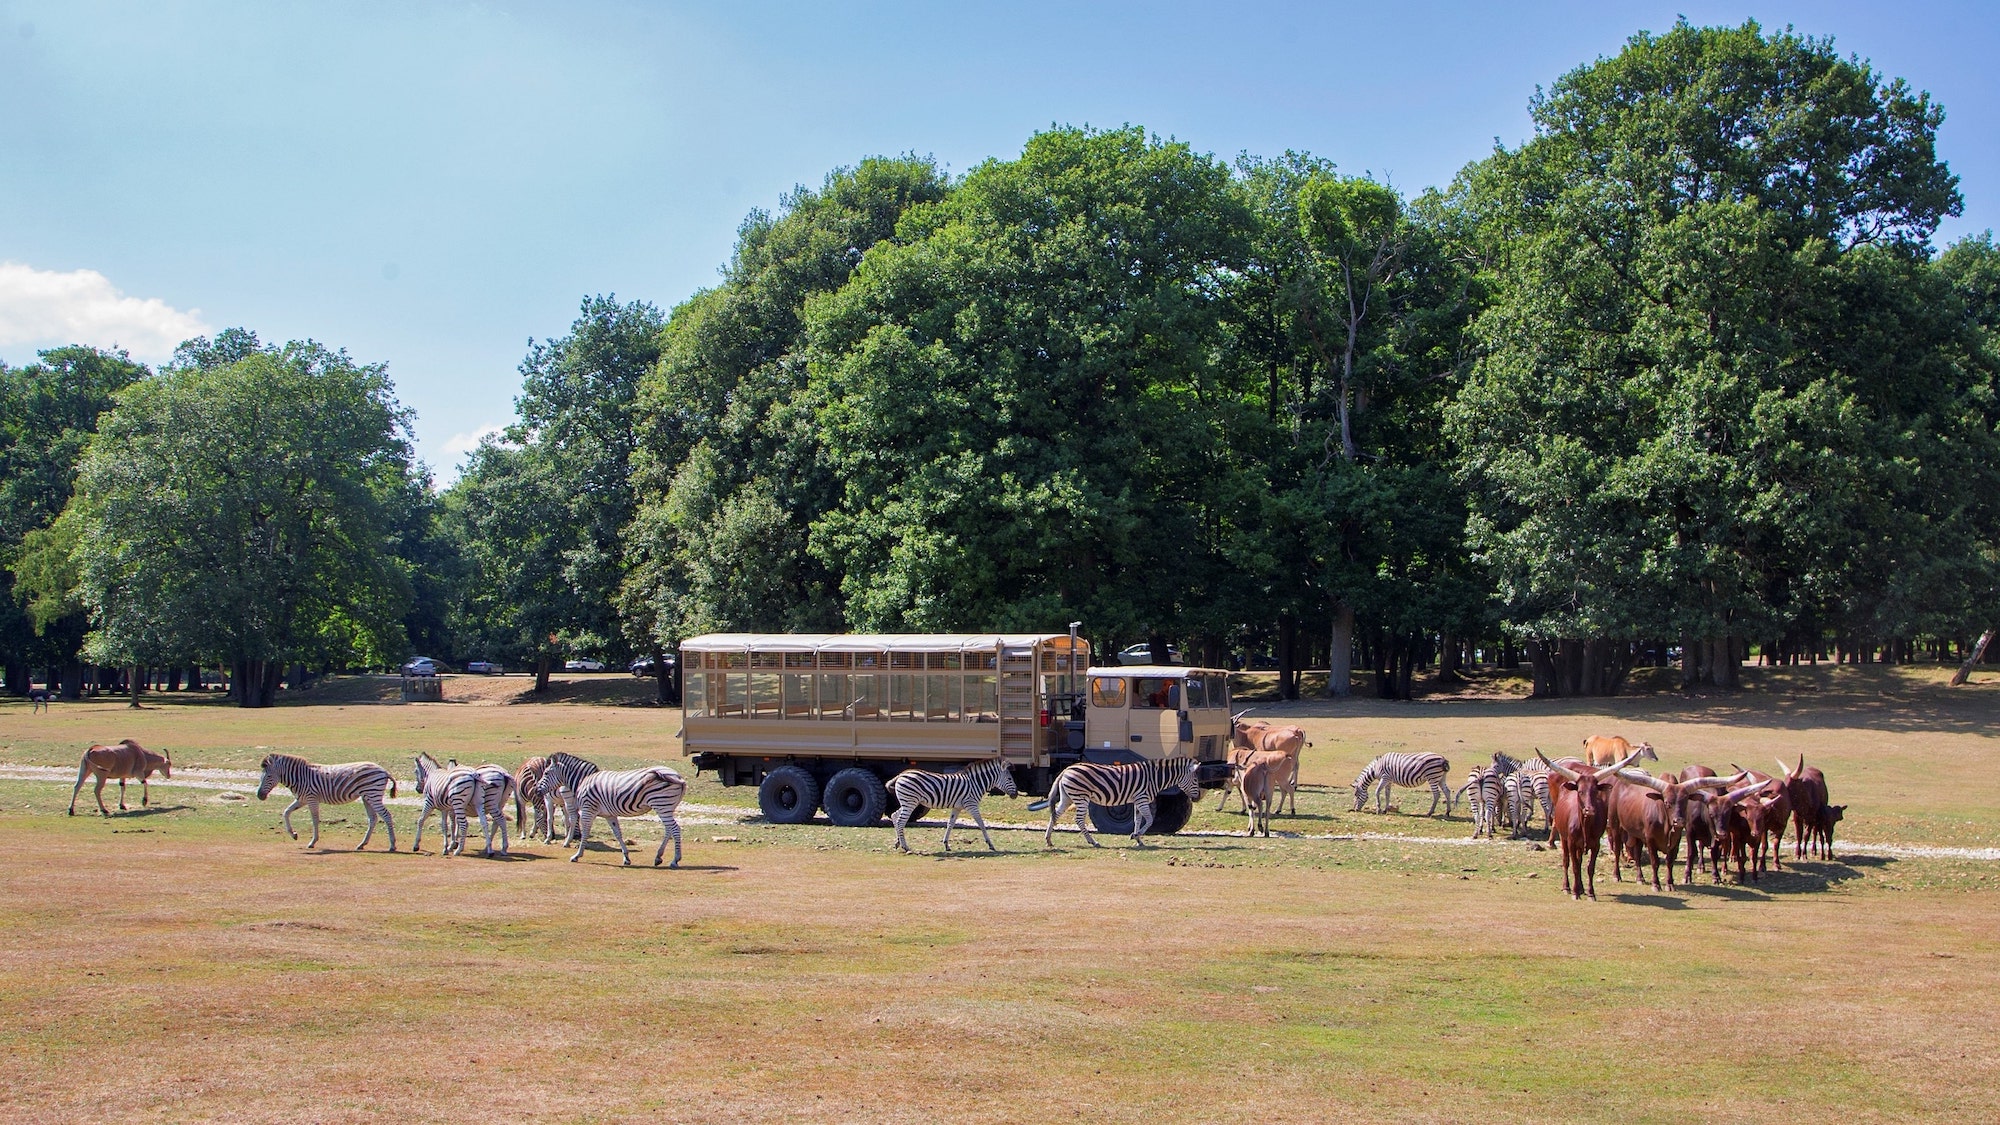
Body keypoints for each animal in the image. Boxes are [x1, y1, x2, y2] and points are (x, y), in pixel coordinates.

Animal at [254, 748, 398, 844]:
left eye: (268, 776)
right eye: (260, 776)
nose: (259, 796)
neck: (299, 777)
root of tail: (384, 770)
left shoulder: (311, 799)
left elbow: (314, 819)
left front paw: (313, 842)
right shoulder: (301, 799)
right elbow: (286, 812)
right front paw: (294, 834)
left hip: (373, 794)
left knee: (386, 815)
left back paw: (392, 845)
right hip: (366, 797)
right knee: (373, 818)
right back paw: (362, 844)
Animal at [888, 752, 1016, 848]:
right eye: (1010, 779)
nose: (1015, 795)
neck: (975, 783)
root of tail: (901, 775)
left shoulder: (957, 807)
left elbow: (950, 823)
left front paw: (946, 844)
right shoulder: (971, 804)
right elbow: (981, 823)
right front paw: (990, 844)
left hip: (907, 802)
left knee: (895, 816)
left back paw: (898, 842)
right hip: (910, 802)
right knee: (901, 821)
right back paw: (905, 846)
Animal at [1048, 756, 1200, 844]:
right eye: (1196, 780)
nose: (1198, 798)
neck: (1154, 778)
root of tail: (1066, 769)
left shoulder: (1138, 800)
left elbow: (1137, 819)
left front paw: (1137, 838)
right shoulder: (1142, 799)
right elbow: (1149, 820)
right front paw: (1137, 835)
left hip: (1067, 797)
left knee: (1055, 814)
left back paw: (1048, 840)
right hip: (1081, 797)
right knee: (1078, 819)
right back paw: (1093, 841)